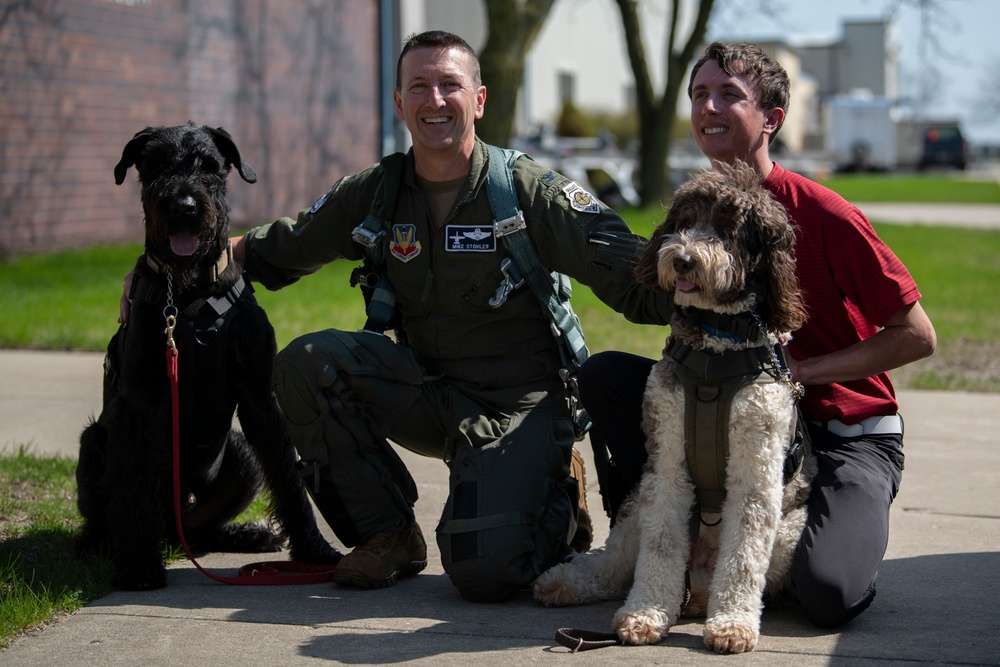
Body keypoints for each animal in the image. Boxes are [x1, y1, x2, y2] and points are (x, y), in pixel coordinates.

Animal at [75, 124, 344, 588]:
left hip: (240, 453)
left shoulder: (260, 396)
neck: (191, 292)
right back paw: (100, 544)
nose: (183, 207)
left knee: (196, 529)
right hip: (94, 443)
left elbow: (289, 478)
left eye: (209, 164)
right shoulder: (137, 405)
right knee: (116, 516)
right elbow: (132, 488)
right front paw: (137, 566)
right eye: (156, 164)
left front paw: (313, 549)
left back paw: (244, 534)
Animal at [540, 162, 812, 652]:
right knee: (613, 568)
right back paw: (564, 582)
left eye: (727, 230)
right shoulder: (667, 460)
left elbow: (744, 555)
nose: (683, 259)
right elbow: (663, 543)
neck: (715, 345)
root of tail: (698, 588)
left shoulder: (756, 468)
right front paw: (646, 613)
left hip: (789, 531)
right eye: (683, 223)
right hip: (634, 510)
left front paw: (733, 625)